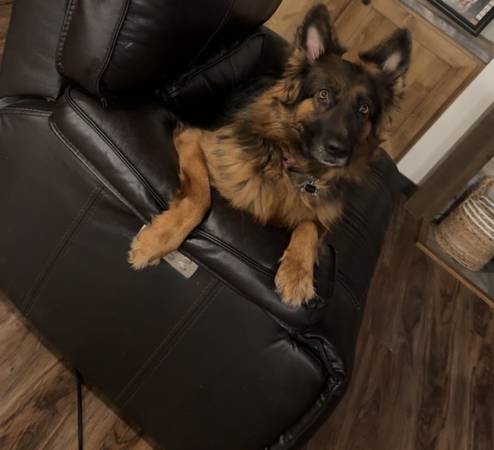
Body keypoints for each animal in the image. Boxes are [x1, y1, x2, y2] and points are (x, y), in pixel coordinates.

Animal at [128, 4, 411, 308]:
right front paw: (157, 240)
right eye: (323, 95)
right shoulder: (194, 139)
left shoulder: (321, 215)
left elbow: (309, 226)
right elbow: (199, 197)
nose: (339, 151)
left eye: (364, 109)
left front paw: (297, 272)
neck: (291, 165)